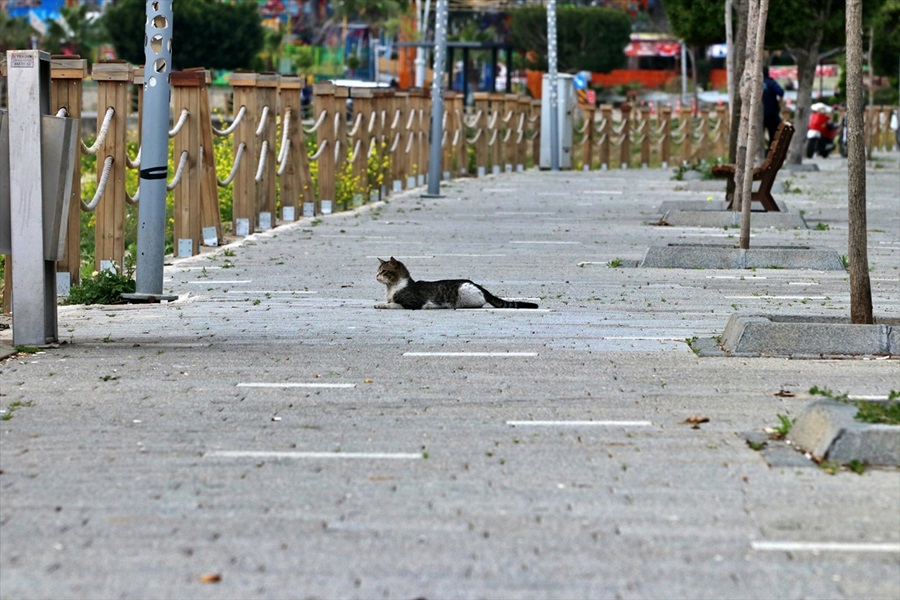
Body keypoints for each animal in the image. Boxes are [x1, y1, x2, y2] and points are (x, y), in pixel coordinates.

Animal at [376, 255, 536, 310]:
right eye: (377, 270)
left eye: (383, 271)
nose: (376, 275)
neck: (391, 288)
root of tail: (480, 286)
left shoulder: (413, 303)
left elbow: (394, 304)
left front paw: (382, 305)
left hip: (463, 292)